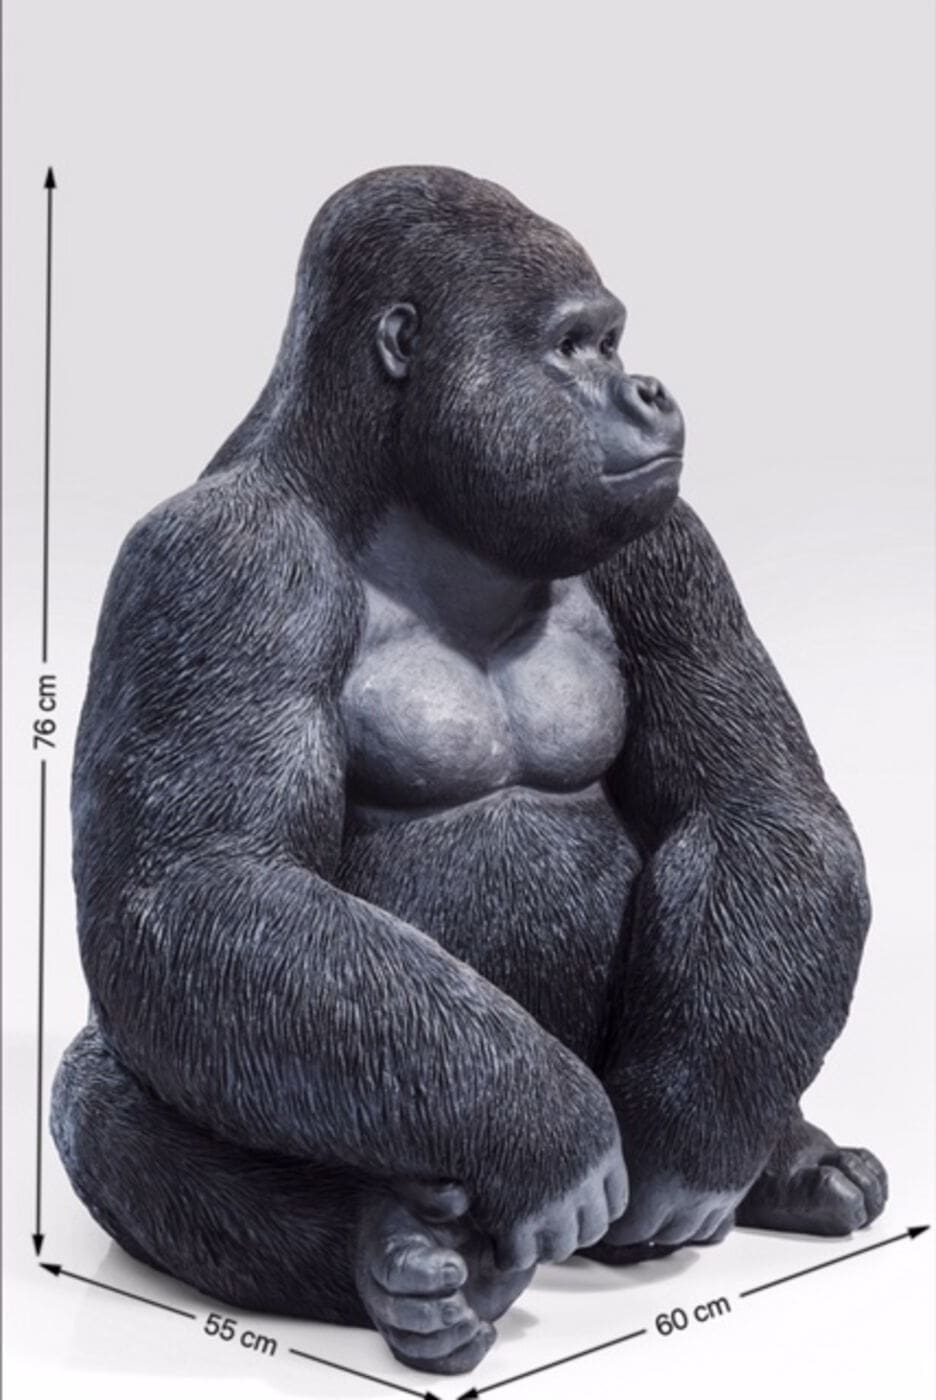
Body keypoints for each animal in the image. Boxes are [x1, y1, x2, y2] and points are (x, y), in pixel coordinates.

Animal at [52, 166, 887, 1376]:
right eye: (575, 346)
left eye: (611, 341)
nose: (648, 387)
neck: (394, 492)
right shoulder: (218, 563)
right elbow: (195, 888)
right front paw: (549, 1134)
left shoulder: (669, 541)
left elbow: (761, 807)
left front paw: (692, 1137)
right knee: (97, 1091)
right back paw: (395, 1259)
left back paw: (783, 1154)